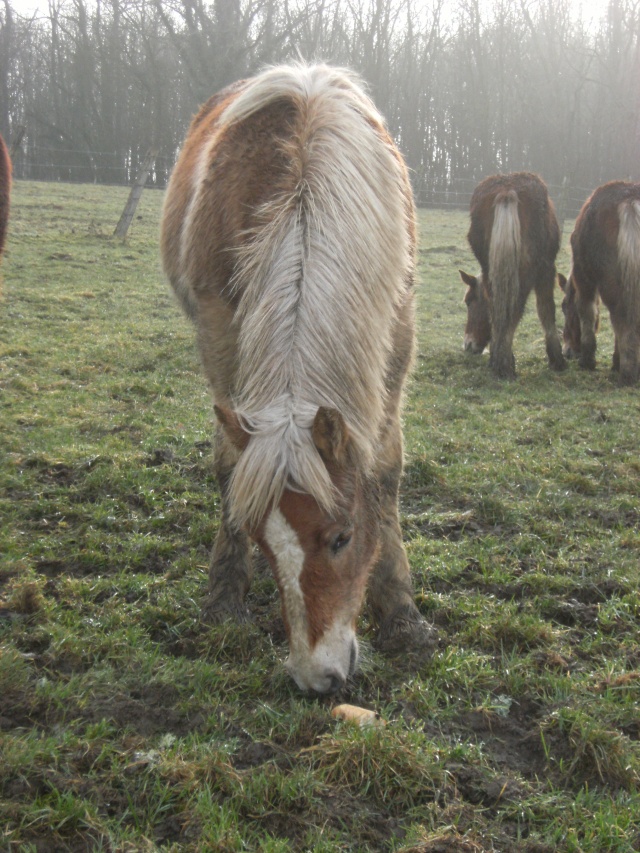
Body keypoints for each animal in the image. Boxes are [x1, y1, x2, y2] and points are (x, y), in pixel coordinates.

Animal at [160, 65, 436, 692]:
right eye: (264, 540)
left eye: (341, 537)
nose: (316, 677)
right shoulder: (219, 330)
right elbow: (229, 465)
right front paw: (224, 598)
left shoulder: (396, 337)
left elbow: (386, 471)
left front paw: (402, 611)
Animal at [460, 171, 564, 378]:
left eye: (468, 302)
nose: (468, 344)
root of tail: (506, 190)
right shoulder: (547, 270)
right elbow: (546, 310)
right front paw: (556, 358)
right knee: (514, 309)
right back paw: (504, 363)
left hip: (491, 268)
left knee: (498, 307)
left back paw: (498, 360)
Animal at [556, 183, 640, 386]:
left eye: (564, 306)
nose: (568, 351)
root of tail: (630, 201)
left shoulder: (584, 279)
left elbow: (587, 313)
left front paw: (587, 360)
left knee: (622, 320)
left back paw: (627, 372)